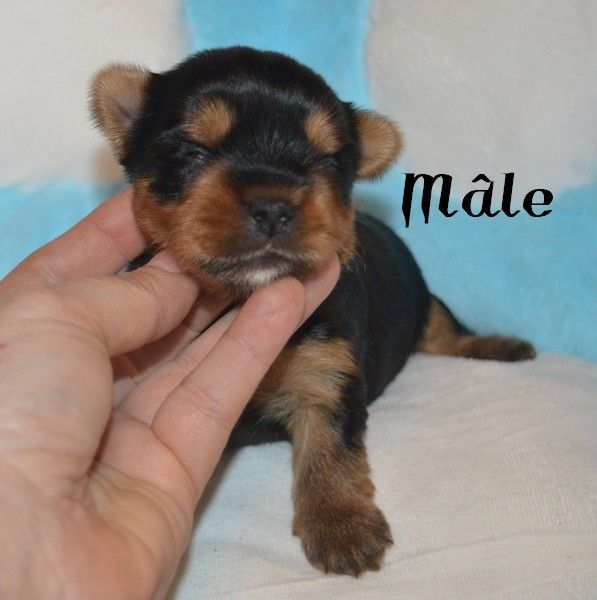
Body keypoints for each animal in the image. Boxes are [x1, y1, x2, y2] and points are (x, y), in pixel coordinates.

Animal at [90, 46, 535, 576]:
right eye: (194, 151)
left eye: (326, 161)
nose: (272, 206)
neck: (241, 297)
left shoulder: (329, 367)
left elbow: (330, 449)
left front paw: (342, 525)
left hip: (426, 299)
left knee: (447, 332)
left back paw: (501, 345)